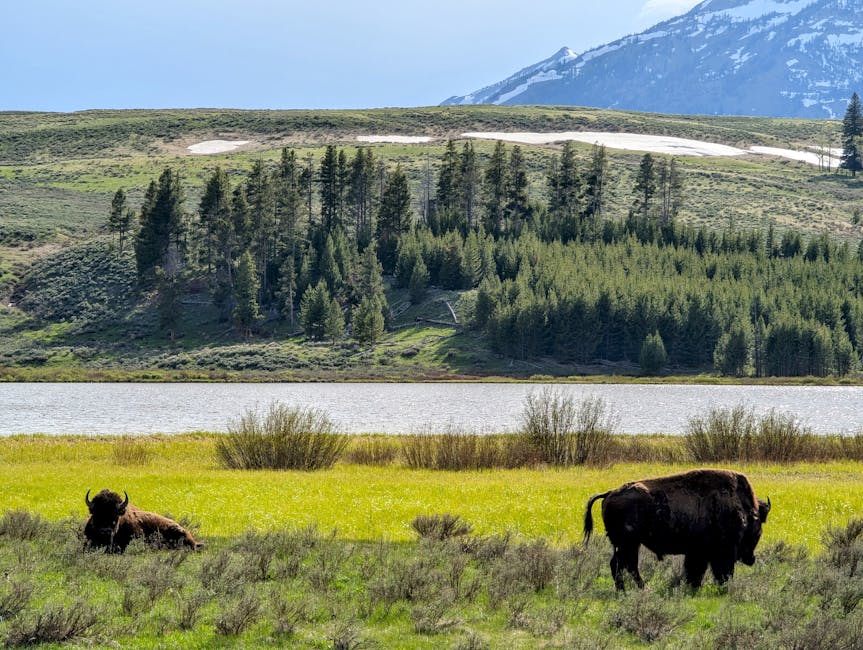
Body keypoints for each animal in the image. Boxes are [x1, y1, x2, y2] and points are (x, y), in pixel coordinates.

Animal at [584, 468, 770, 590]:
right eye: (758, 530)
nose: (751, 559)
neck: (741, 509)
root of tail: (609, 493)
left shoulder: (697, 552)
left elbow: (695, 571)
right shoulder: (718, 553)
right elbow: (715, 571)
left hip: (627, 544)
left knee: (623, 565)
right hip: (628, 543)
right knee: (624, 565)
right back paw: (637, 589)